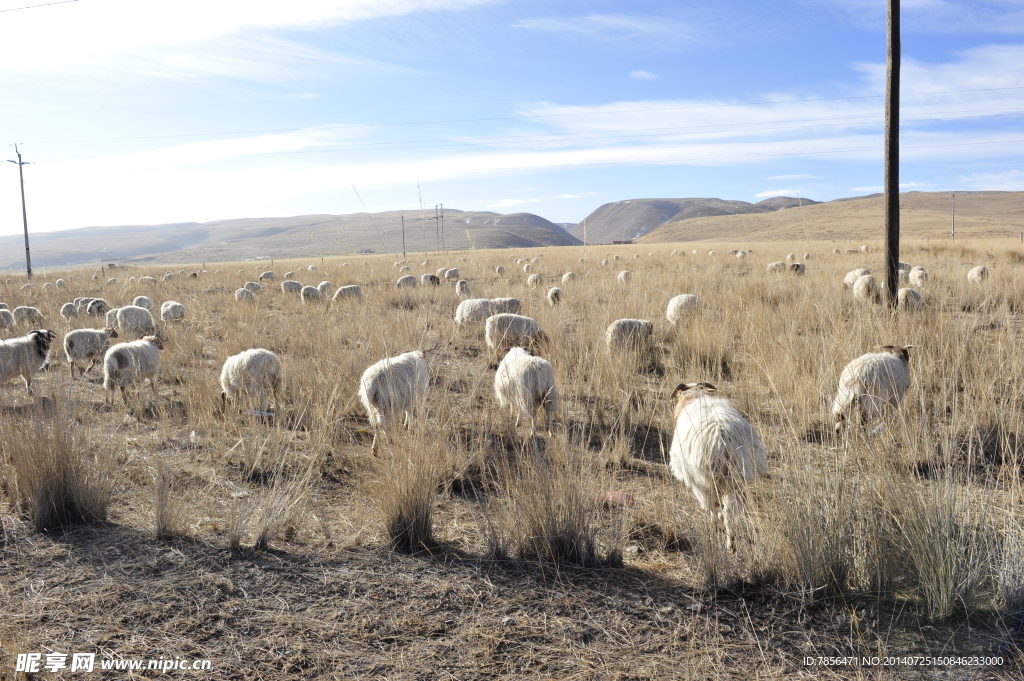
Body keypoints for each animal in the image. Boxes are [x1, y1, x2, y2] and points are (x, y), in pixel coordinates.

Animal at [667, 382, 765, 552]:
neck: (695, 396)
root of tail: (722, 436)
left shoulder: (695, 480)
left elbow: (710, 503)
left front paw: (714, 520)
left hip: (706, 477)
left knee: (714, 504)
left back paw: (721, 532)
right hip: (736, 477)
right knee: (730, 509)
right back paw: (731, 543)